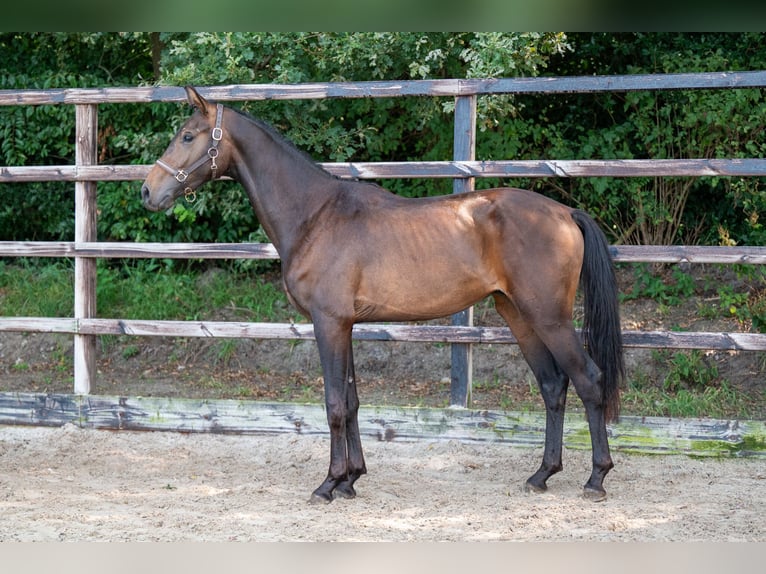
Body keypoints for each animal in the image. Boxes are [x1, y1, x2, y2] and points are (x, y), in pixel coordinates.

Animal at [142, 85, 624, 504]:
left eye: (187, 136)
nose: (148, 191)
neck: (315, 215)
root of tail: (565, 212)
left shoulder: (329, 323)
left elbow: (335, 403)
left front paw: (328, 484)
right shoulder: (346, 325)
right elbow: (353, 401)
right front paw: (351, 481)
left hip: (549, 318)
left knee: (589, 380)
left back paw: (596, 479)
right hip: (519, 315)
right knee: (553, 385)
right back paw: (542, 475)